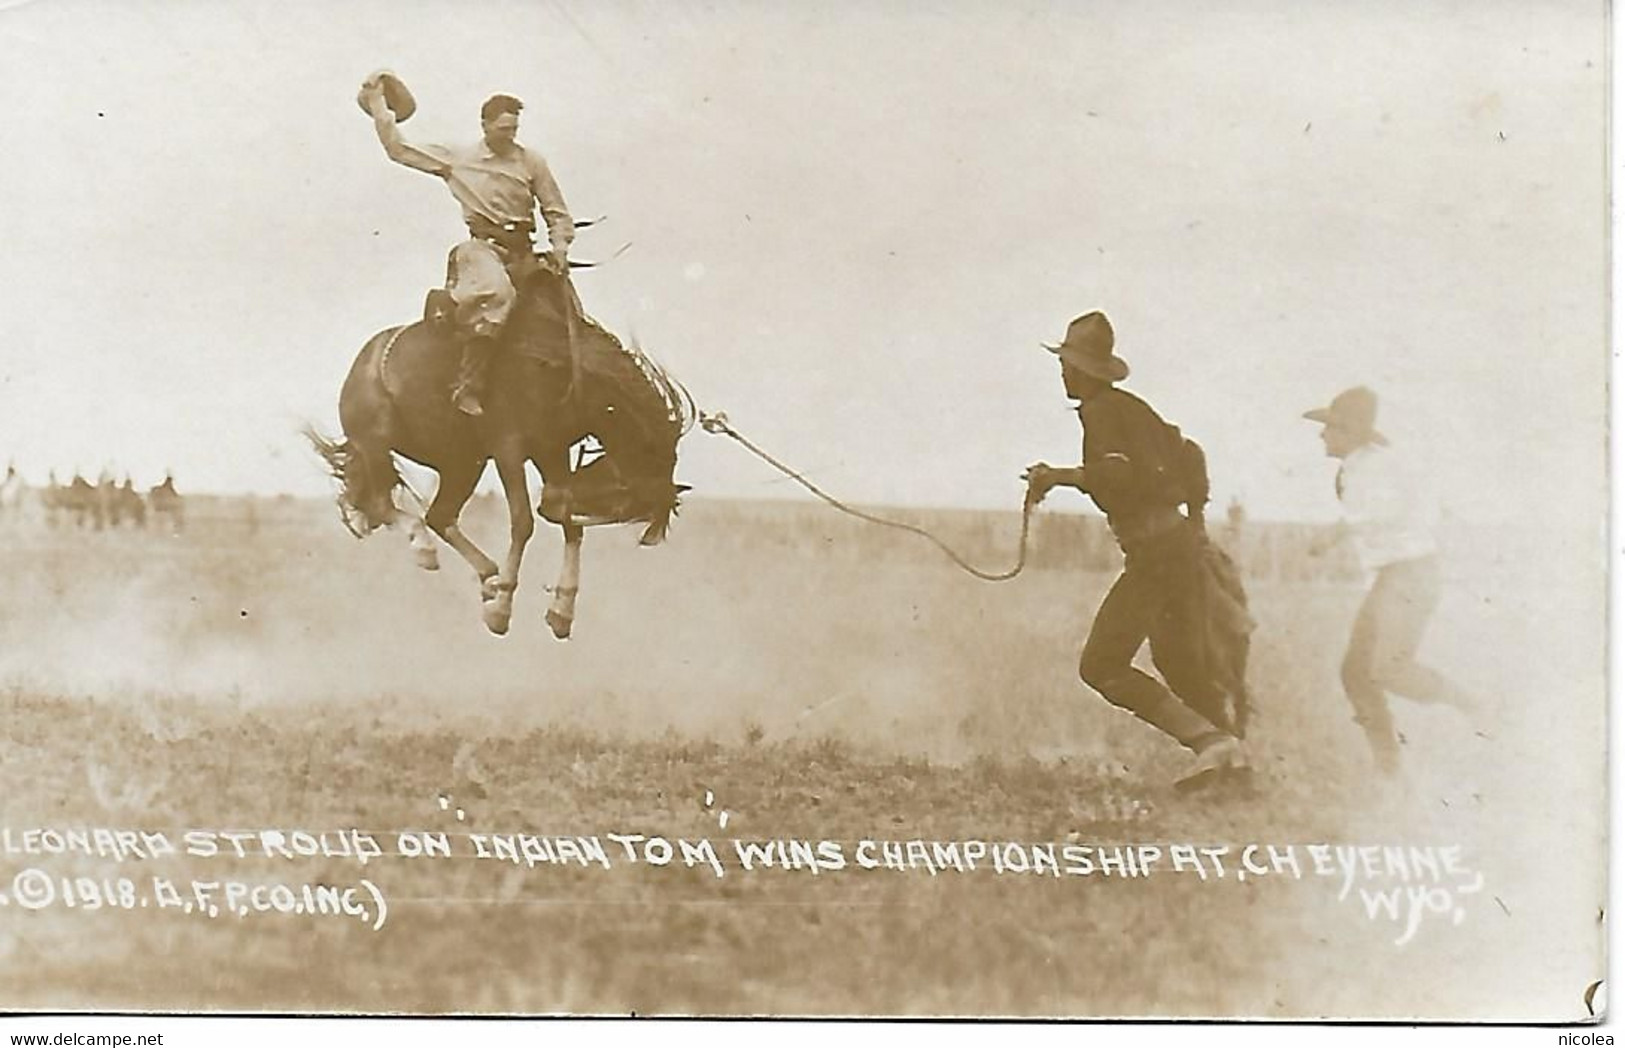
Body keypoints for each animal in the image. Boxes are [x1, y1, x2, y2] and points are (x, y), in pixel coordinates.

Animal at [308, 266, 692, 633]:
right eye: (629, 503)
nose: (651, 534)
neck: (560, 367)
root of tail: (362, 363)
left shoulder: (551, 451)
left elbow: (570, 524)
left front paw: (561, 610)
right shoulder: (509, 449)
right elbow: (523, 521)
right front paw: (503, 608)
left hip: (463, 462)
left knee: (439, 516)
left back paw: (487, 576)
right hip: (375, 443)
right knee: (385, 505)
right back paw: (428, 549)